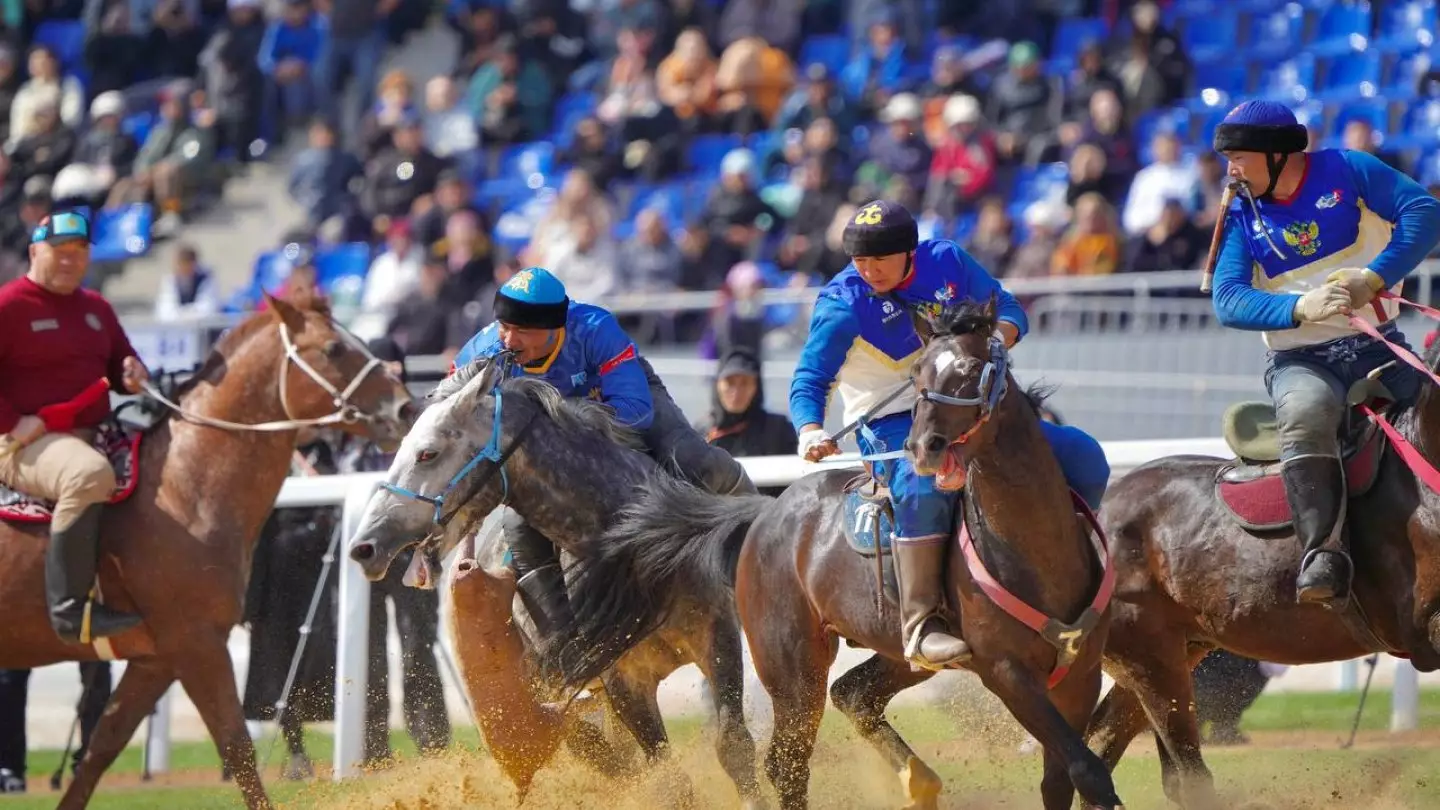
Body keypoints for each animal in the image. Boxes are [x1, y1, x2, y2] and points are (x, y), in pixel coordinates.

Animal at [0, 291, 417, 807]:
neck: (181, 490)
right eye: (333, 349)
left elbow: (102, 745)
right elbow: (236, 745)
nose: (405, 408)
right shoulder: (197, 642)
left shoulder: (157, 658)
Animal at [344, 355, 766, 801]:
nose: (364, 547)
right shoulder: (621, 679)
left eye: (427, 453)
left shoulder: (716, 634)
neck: (635, 550)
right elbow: (667, 777)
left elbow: (733, 744)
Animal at [541, 301, 1123, 807]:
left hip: (892, 656)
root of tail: (764, 513)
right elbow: (1087, 770)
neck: (1033, 551)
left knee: (853, 695)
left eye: (974, 370)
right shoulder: (1007, 673)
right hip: (794, 671)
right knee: (787, 764)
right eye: (919, 376)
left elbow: (1062, 779)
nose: (923, 448)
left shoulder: (1080, 674)